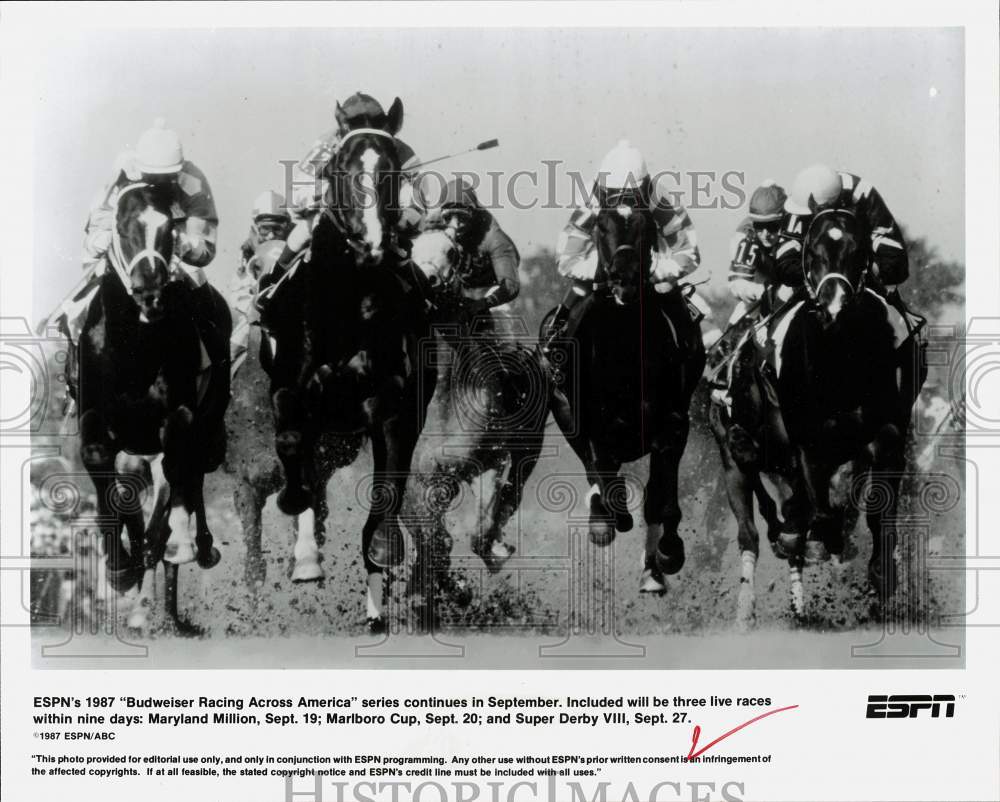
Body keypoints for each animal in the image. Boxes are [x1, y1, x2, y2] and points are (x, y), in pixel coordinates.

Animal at [77, 181, 230, 632]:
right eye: (123, 226)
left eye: (169, 230)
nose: (150, 292)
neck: (134, 347)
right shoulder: (98, 421)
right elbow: (110, 485)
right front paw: (118, 567)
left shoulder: (179, 420)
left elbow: (175, 486)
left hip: (207, 429)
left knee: (188, 482)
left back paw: (190, 555)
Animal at [254, 97, 434, 628]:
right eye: (338, 167)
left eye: (392, 168)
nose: (370, 243)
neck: (346, 304)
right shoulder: (290, 391)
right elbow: (294, 450)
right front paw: (296, 516)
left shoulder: (392, 407)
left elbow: (386, 496)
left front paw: (386, 552)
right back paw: (307, 559)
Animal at [540, 191, 704, 592]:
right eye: (601, 226)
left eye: (646, 226)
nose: (624, 280)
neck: (624, 347)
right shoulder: (590, 423)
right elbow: (606, 479)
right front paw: (604, 520)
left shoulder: (672, 424)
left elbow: (659, 499)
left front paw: (667, 554)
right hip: (565, 415)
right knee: (595, 474)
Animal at [776, 206, 924, 600]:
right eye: (811, 252)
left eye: (858, 252)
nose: (835, 308)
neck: (839, 362)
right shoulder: (809, 442)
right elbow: (824, 512)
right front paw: (824, 543)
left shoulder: (886, 435)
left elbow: (878, 507)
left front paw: (882, 572)